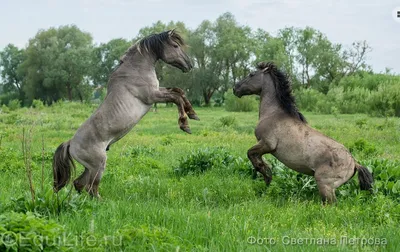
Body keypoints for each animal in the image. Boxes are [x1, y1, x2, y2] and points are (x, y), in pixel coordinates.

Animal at [52, 30, 199, 198]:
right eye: (175, 45)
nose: (189, 65)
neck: (136, 69)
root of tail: (71, 143)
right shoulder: (152, 96)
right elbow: (176, 97)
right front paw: (185, 125)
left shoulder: (158, 90)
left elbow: (179, 92)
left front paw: (193, 114)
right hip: (98, 165)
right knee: (91, 186)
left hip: (89, 167)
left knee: (79, 183)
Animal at [233, 62, 374, 204]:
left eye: (251, 74)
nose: (235, 88)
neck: (273, 114)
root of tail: (354, 163)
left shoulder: (267, 144)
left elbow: (251, 155)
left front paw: (266, 173)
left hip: (324, 184)